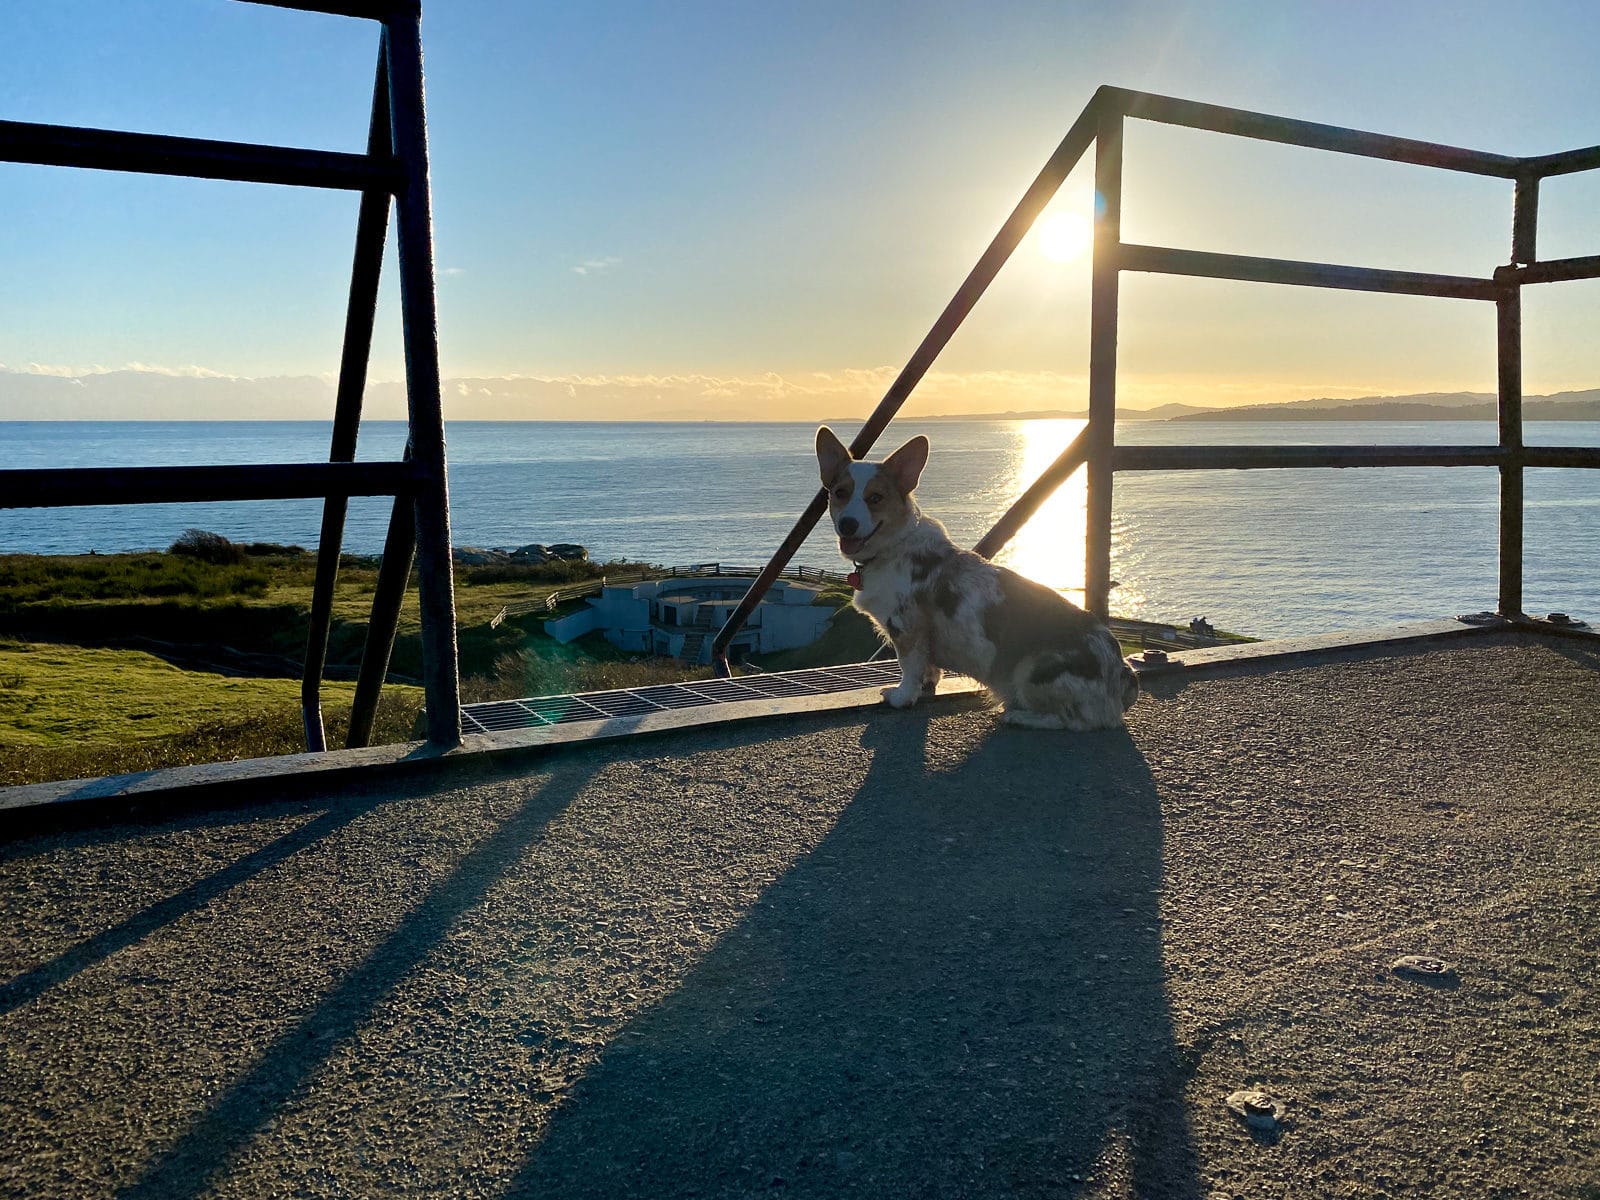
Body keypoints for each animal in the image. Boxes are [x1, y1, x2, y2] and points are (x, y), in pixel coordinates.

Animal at [819, 428, 1145, 732]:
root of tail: (1121, 676)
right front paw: (928, 683)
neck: (894, 546)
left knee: (1079, 720)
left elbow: (908, 669)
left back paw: (1019, 716)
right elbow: (926, 668)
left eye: (875, 498)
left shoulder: (906, 628)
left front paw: (900, 697)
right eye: (840, 493)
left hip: (1031, 671)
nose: (848, 525)